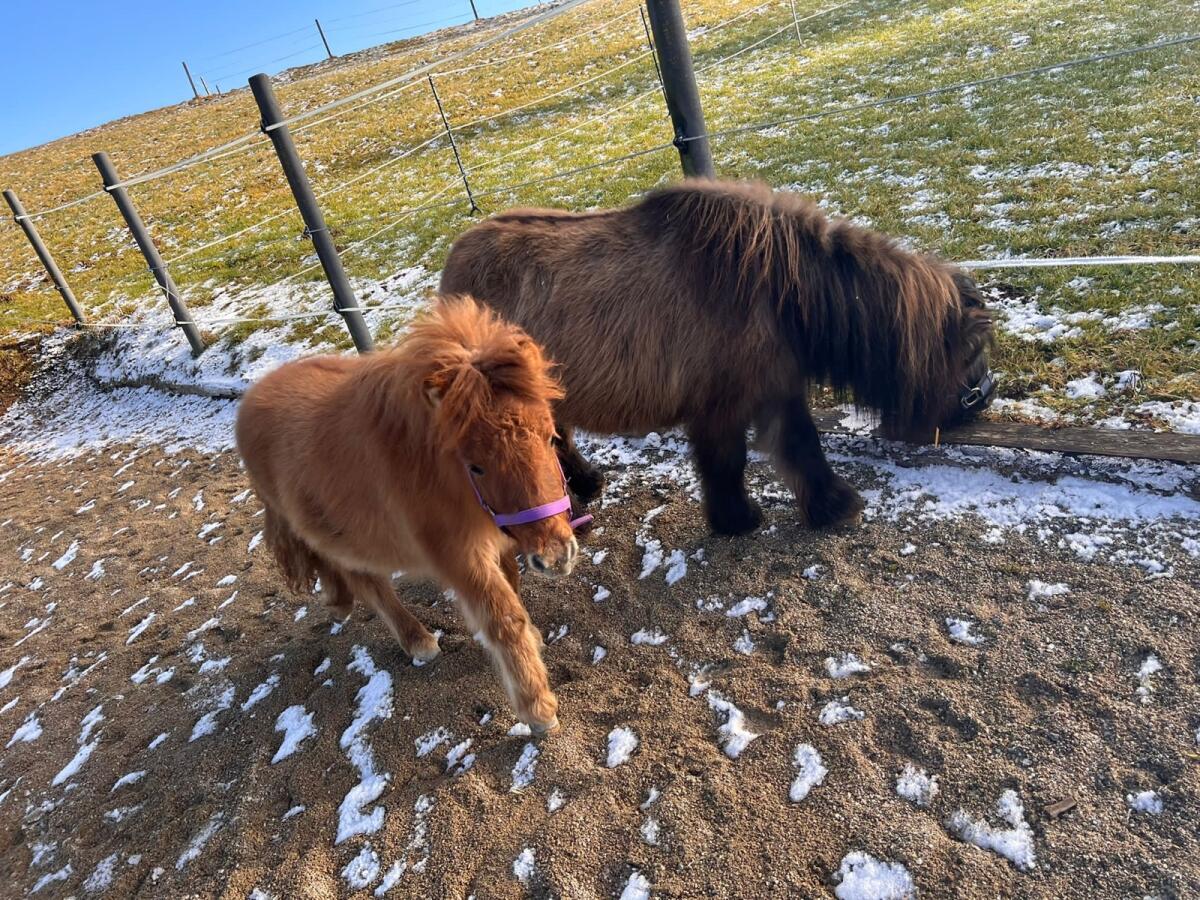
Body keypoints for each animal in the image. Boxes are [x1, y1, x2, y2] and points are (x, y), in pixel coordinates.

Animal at [235, 296, 579, 733]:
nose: (556, 557)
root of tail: (249, 402)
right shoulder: (459, 558)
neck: (434, 469)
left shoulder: (500, 537)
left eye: (551, 438)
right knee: (369, 585)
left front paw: (534, 641)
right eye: (476, 466)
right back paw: (418, 641)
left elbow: (514, 589)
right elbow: (503, 618)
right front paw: (538, 709)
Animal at [440, 179, 995, 536]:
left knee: (558, 439)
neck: (779, 288)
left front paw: (831, 506)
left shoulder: (775, 391)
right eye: (972, 347)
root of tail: (451, 267)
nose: (984, 397)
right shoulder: (720, 405)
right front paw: (737, 521)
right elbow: (728, 462)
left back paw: (588, 484)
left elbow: (802, 447)